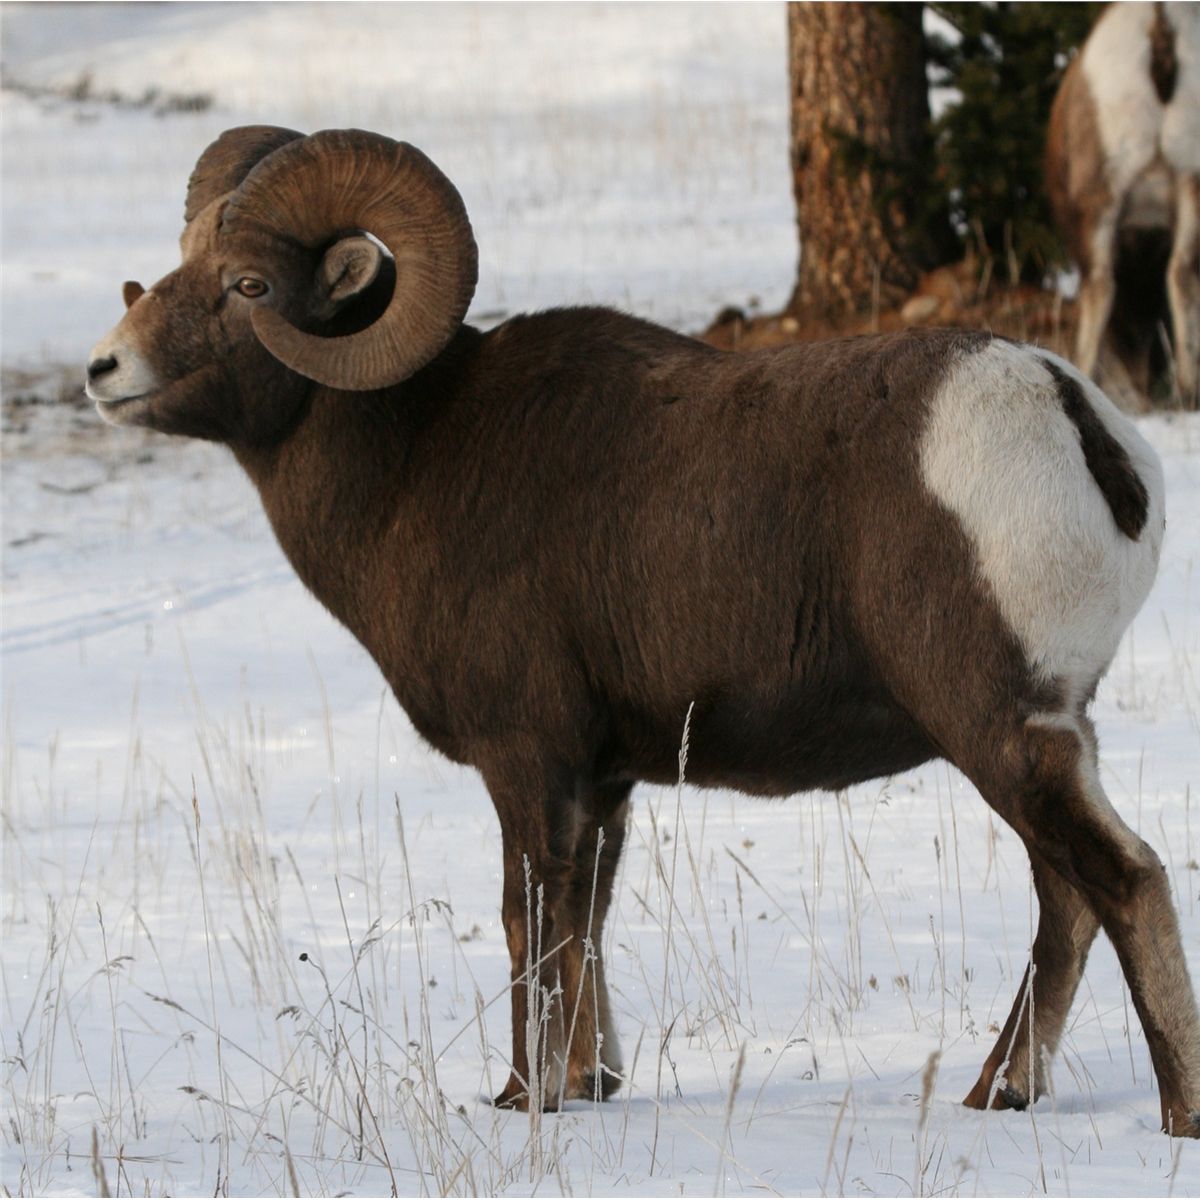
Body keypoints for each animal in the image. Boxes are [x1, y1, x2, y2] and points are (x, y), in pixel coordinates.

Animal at [86, 125, 1199, 1134]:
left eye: (249, 286)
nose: (105, 370)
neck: (411, 463)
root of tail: (1075, 423)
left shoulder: (527, 761)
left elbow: (531, 920)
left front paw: (526, 1099)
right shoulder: (606, 779)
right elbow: (586, 917)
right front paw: (589, 1083)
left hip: (996, 729)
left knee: (1123, 881)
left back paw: (1171, 1113)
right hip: (1057, 735)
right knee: (1066, 900)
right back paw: (995, 1093)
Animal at [1046, 1, 1200, 409]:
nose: (1146, 379)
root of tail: (1159, 25)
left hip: (1101, 195)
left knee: (1100, 286)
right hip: (1191, 180)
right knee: (1182, 274)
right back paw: (1188, 390)